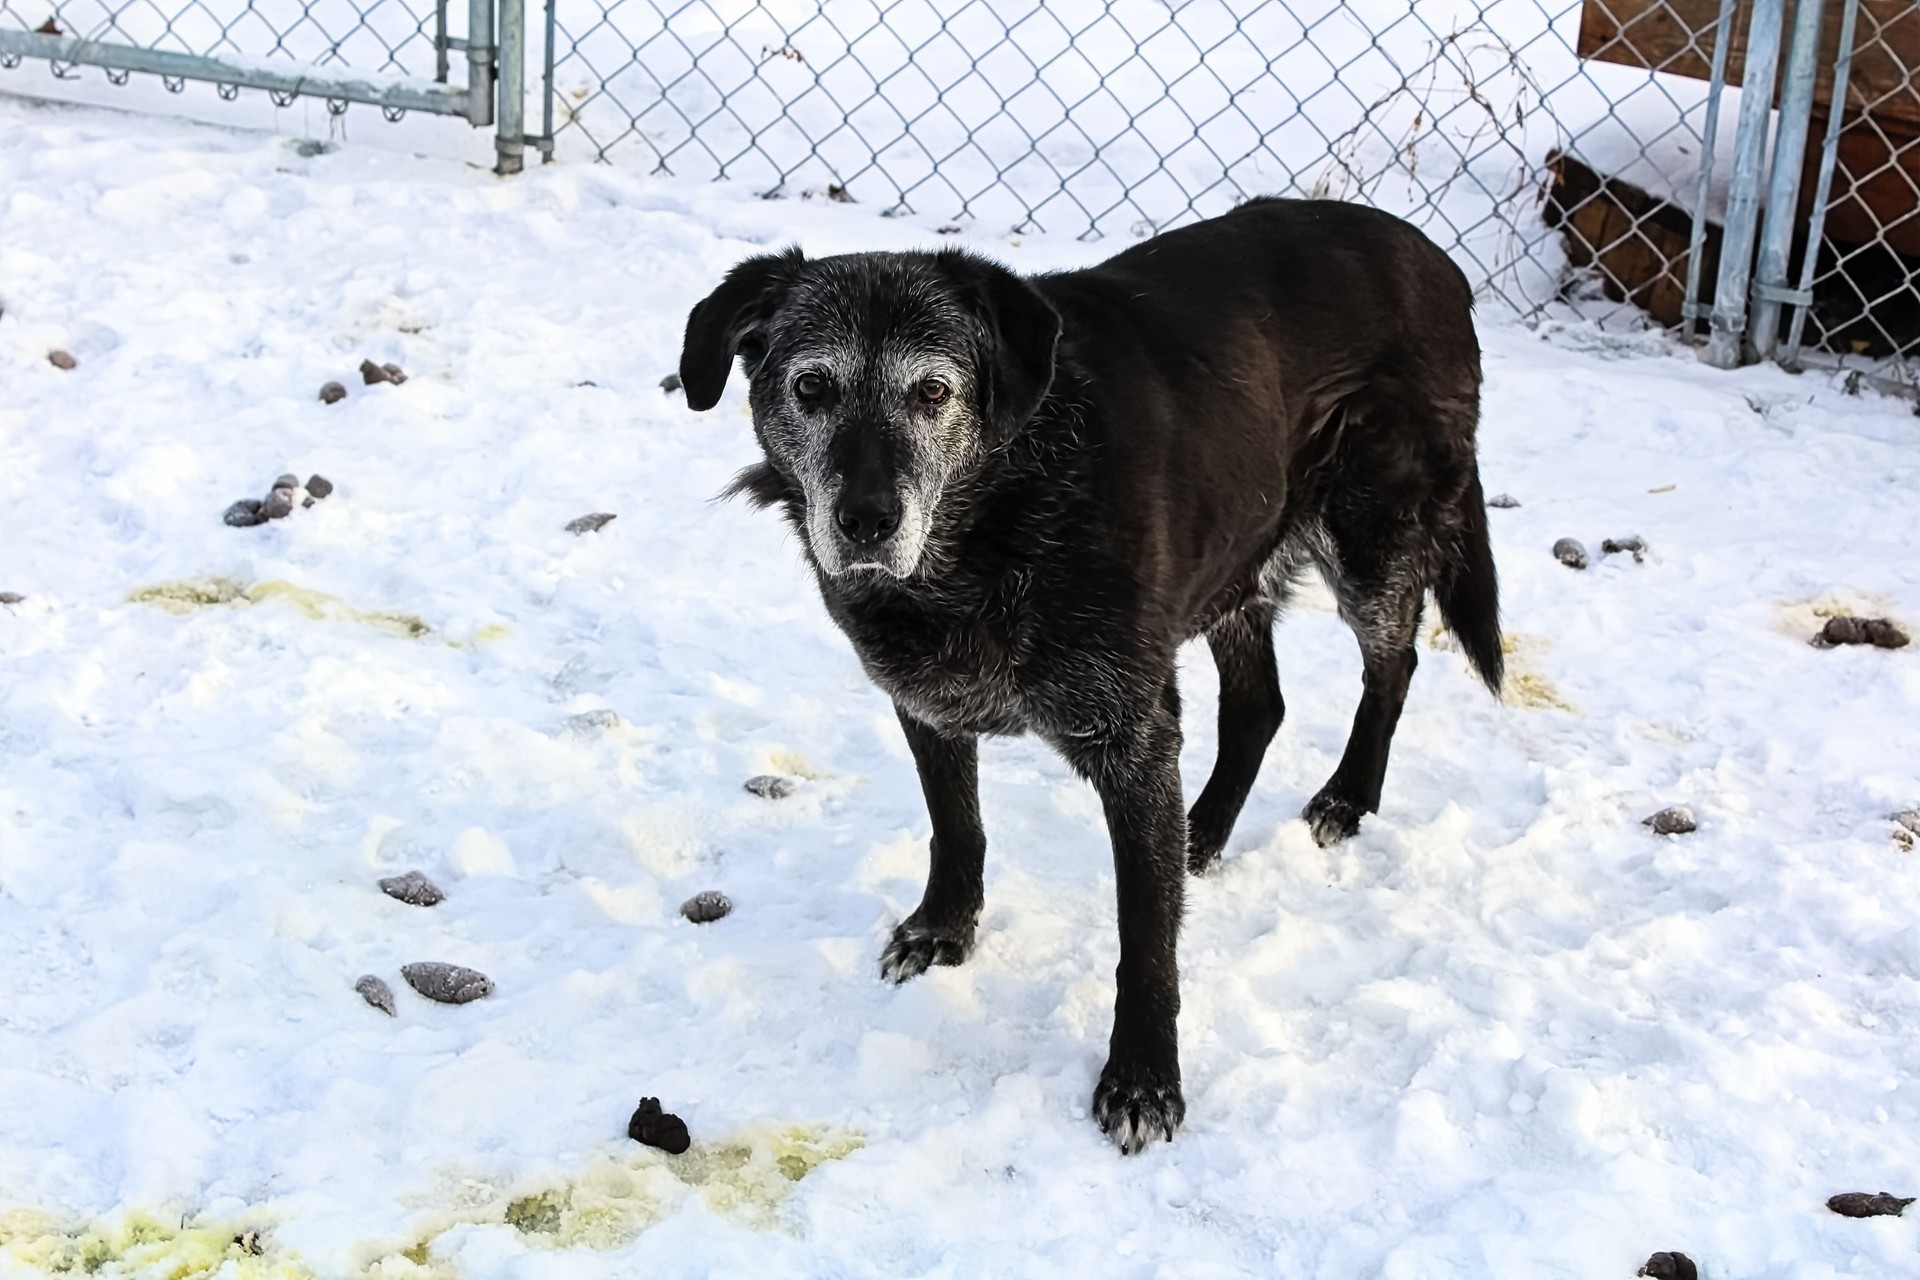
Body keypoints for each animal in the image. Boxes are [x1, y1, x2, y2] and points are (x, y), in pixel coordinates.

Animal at [675, 197, 1497, 1151]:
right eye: (812, 387)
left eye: (932, 391)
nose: (867, 522)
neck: (997, 511)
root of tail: (1433, 256)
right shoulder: (929, 702)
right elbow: (957, 829)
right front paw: (943, 928)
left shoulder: (1132, 737)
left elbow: (1144, 935)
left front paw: (1143, 1079)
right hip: (1233, 559)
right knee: (1260, 705)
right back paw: (1201, 834)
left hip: (1369, 540)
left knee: (1393, 665)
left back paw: (1345, 798)